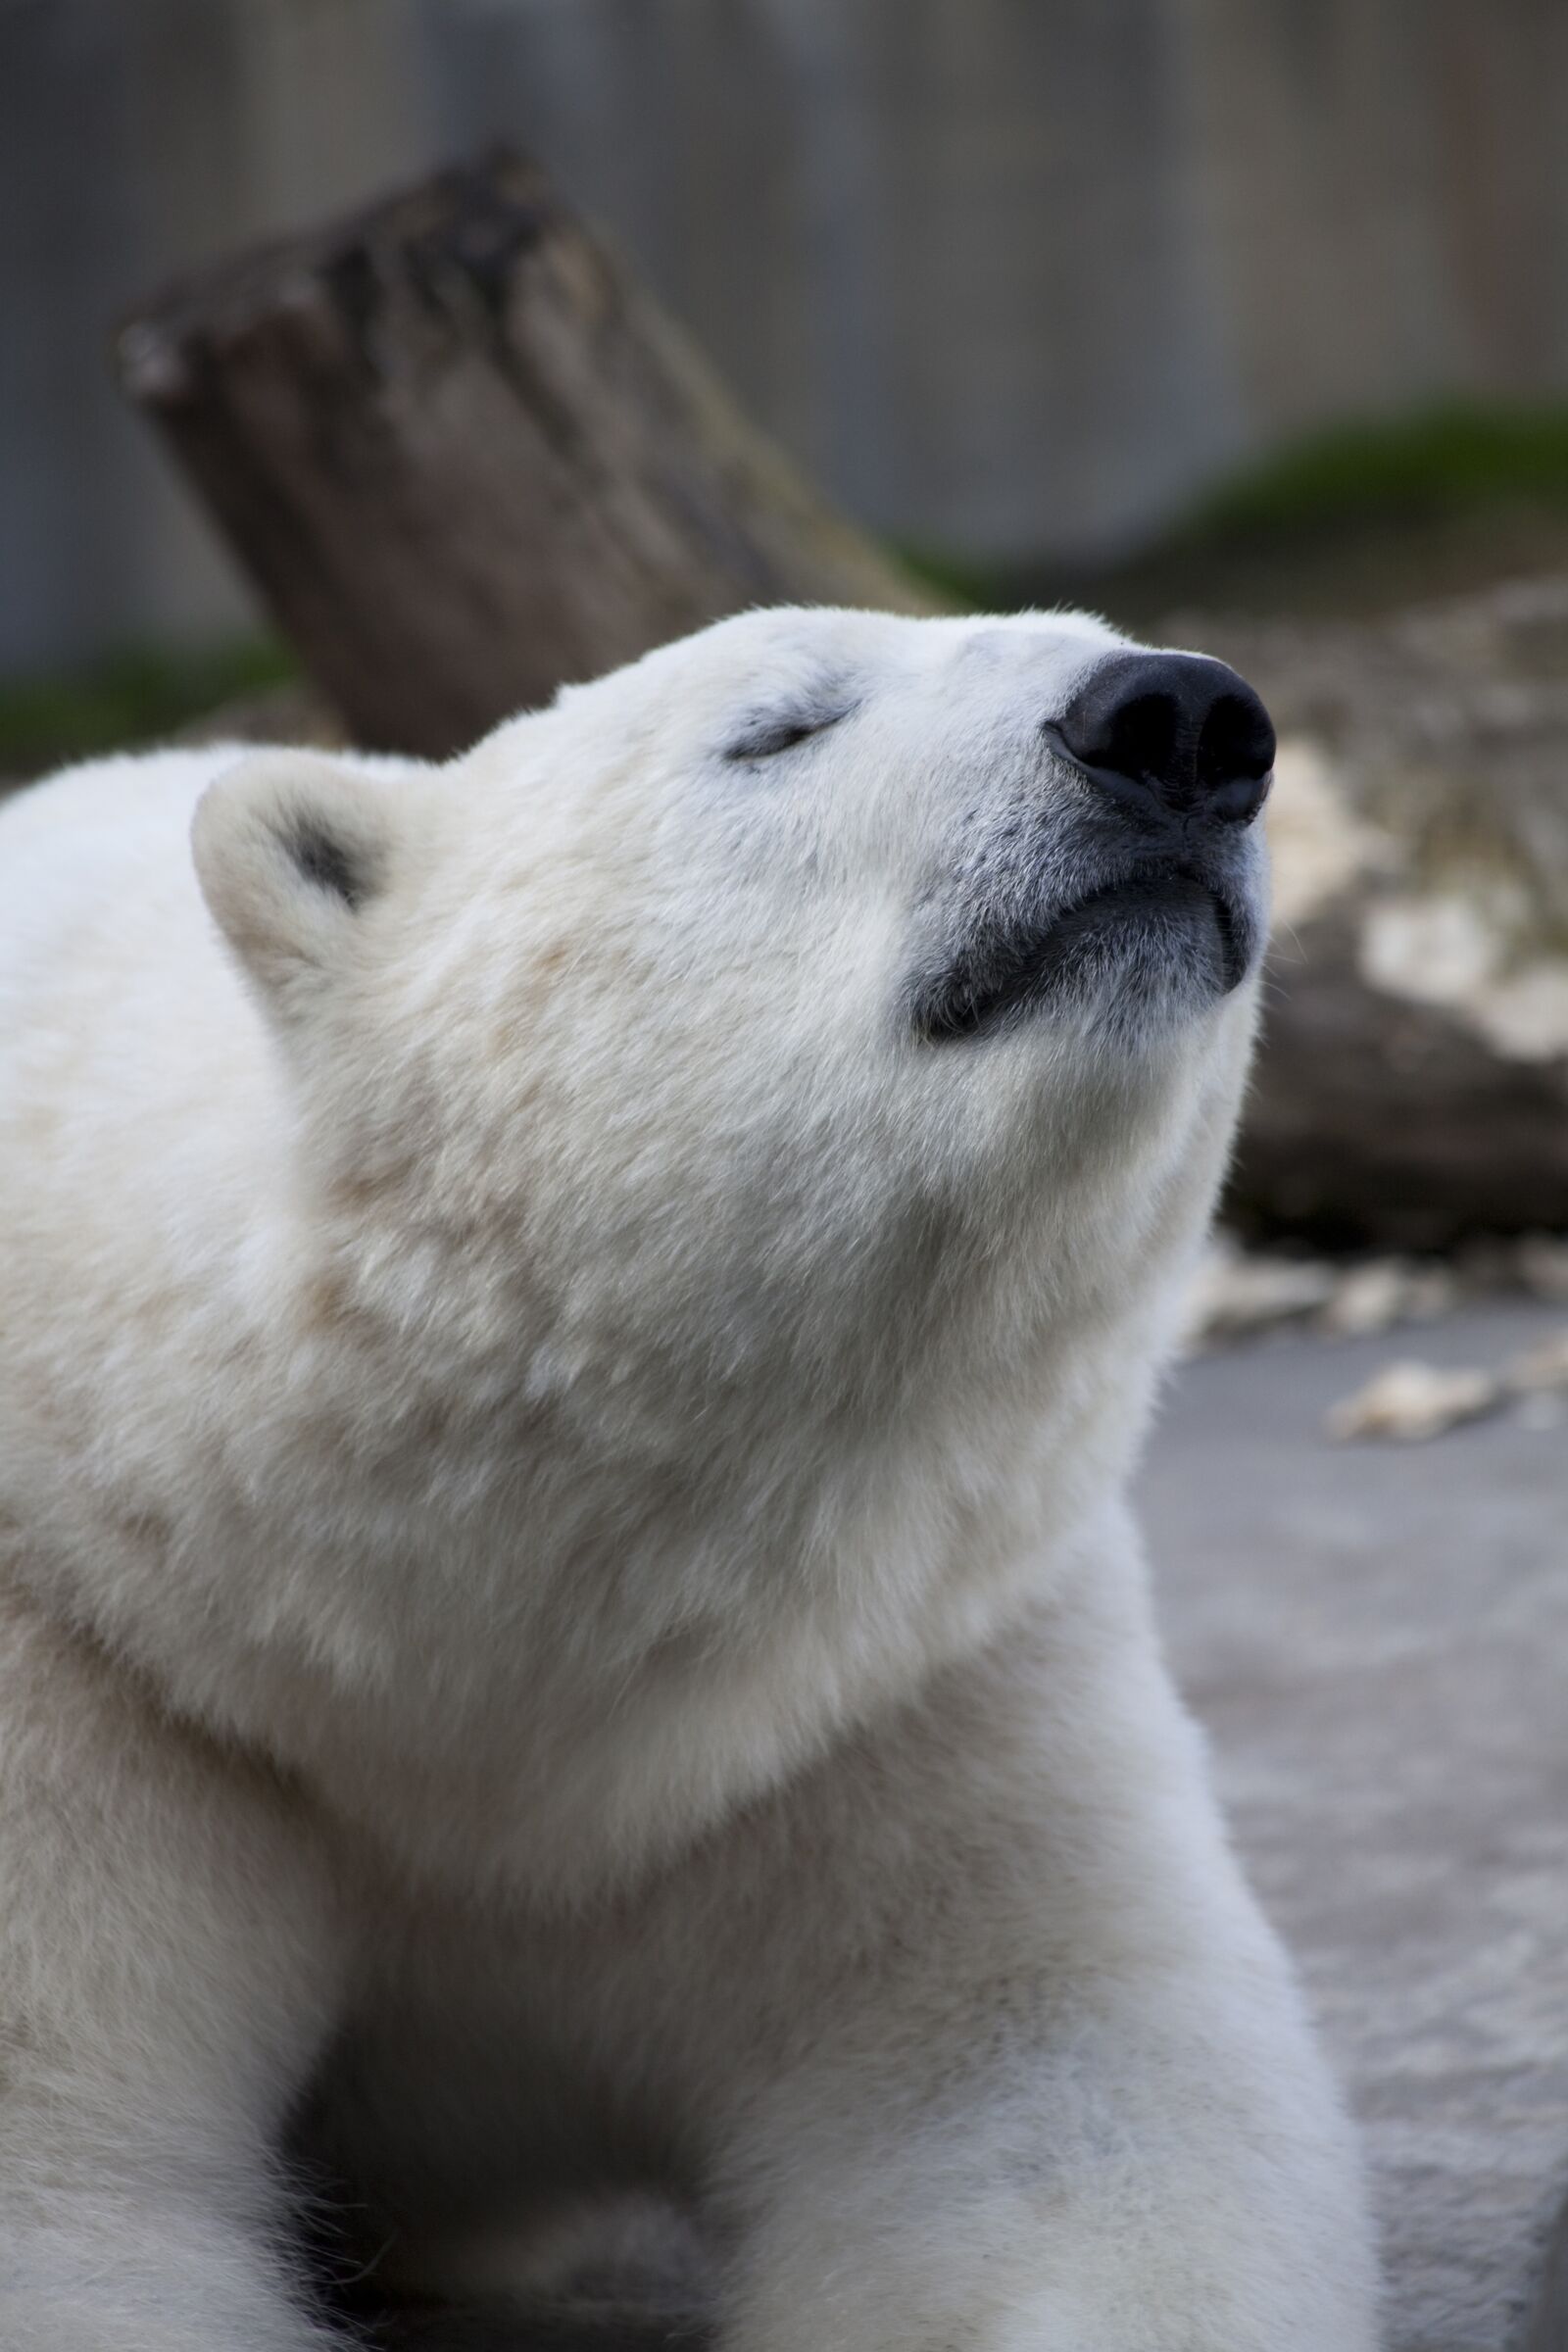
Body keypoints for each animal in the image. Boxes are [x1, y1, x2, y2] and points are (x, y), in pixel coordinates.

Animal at [0, 606, 1376, 2352]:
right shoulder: (102, 1680)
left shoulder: (877, 1689)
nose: (1180, 720)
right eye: (777, 729)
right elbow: (58, 2185)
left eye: (1108, 645)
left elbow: (1064, 2098)